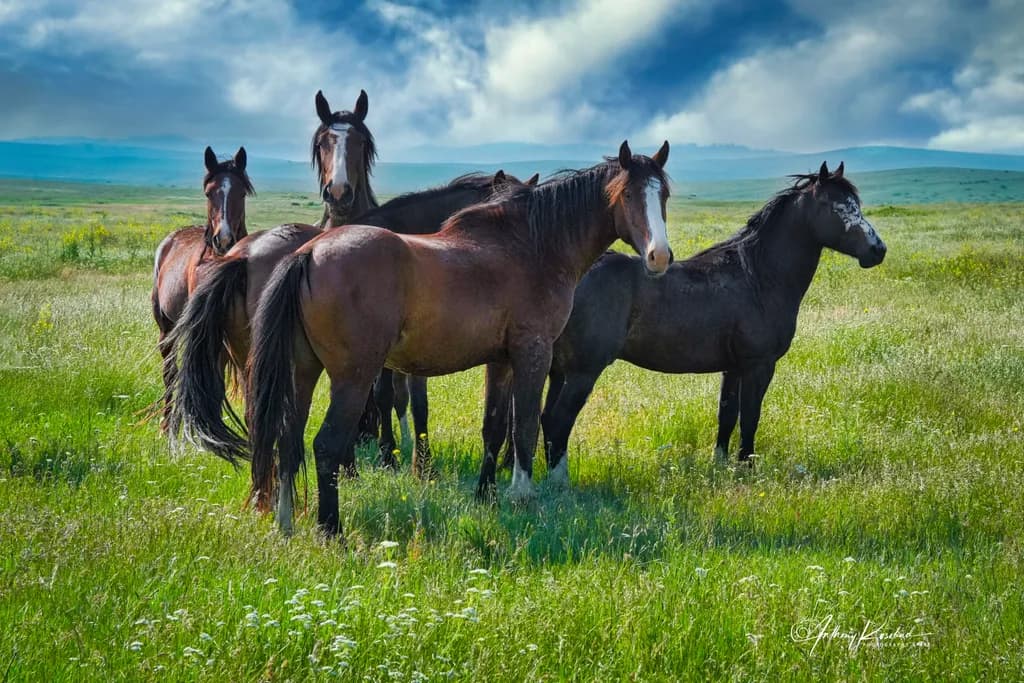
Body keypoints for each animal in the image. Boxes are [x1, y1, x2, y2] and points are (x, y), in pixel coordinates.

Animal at [150, 146, 254, 431]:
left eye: (241, 193)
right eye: (209, 193)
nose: (224, 239)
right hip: (167, 329)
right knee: (170, 372)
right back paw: (166, 424)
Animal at [246, 140, 673, 536]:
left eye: (664, 194)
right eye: (628, 195)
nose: (660, 256)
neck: (532, 246)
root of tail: (308, 254)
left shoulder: (500, 361)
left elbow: (494, 427)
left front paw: (487, 495)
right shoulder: (533, 352)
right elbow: (525, 425)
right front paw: (522, 497)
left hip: (303, 373)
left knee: (289, 439)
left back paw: (286, 524)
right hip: (354, 377)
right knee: (326, 446)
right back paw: (331, 531)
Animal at [532, 162, 886, 484]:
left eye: (856, 204)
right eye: (834, 206)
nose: (877, 250)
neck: (757, 276)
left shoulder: (733, 368)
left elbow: (727, 416)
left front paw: (721, 466)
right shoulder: (759, 365)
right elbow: (750, 417)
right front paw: (747, 469)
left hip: (560, 370)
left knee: (546, 420)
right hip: (583, 371)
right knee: (559, 421)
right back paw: (561, 485)